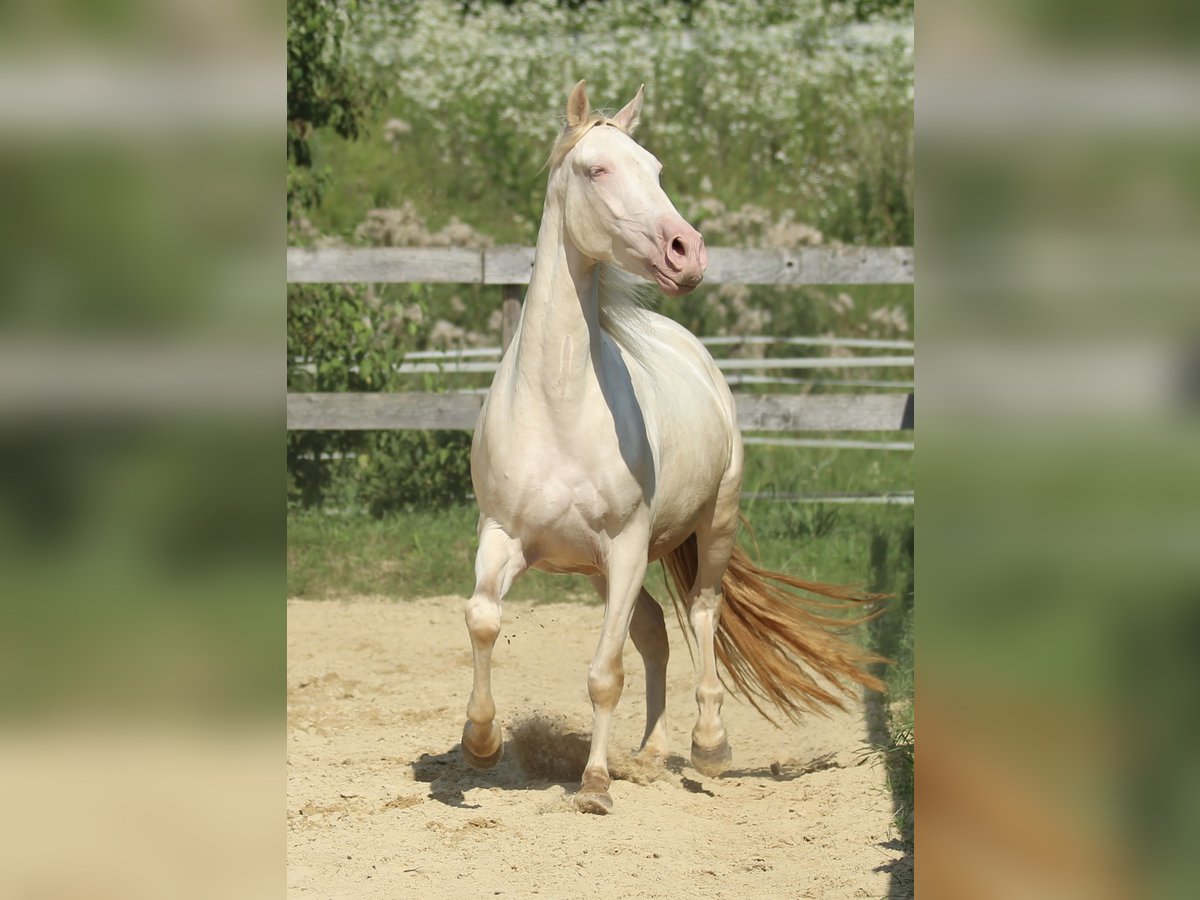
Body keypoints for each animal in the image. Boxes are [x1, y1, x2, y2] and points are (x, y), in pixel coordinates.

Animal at [463, 82, 878, 816]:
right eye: (596, 169)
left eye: (655, 168)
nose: (687, 252)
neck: (560, 404)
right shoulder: (504, 534)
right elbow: (483, 619)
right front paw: (481, 740)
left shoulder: (627, 544)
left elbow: (605, 673)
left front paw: (595, 786)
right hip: (603, 568)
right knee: (655, 628)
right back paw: (651, 753)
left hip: (710, 525)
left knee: (701, 613)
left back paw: (707, 746)